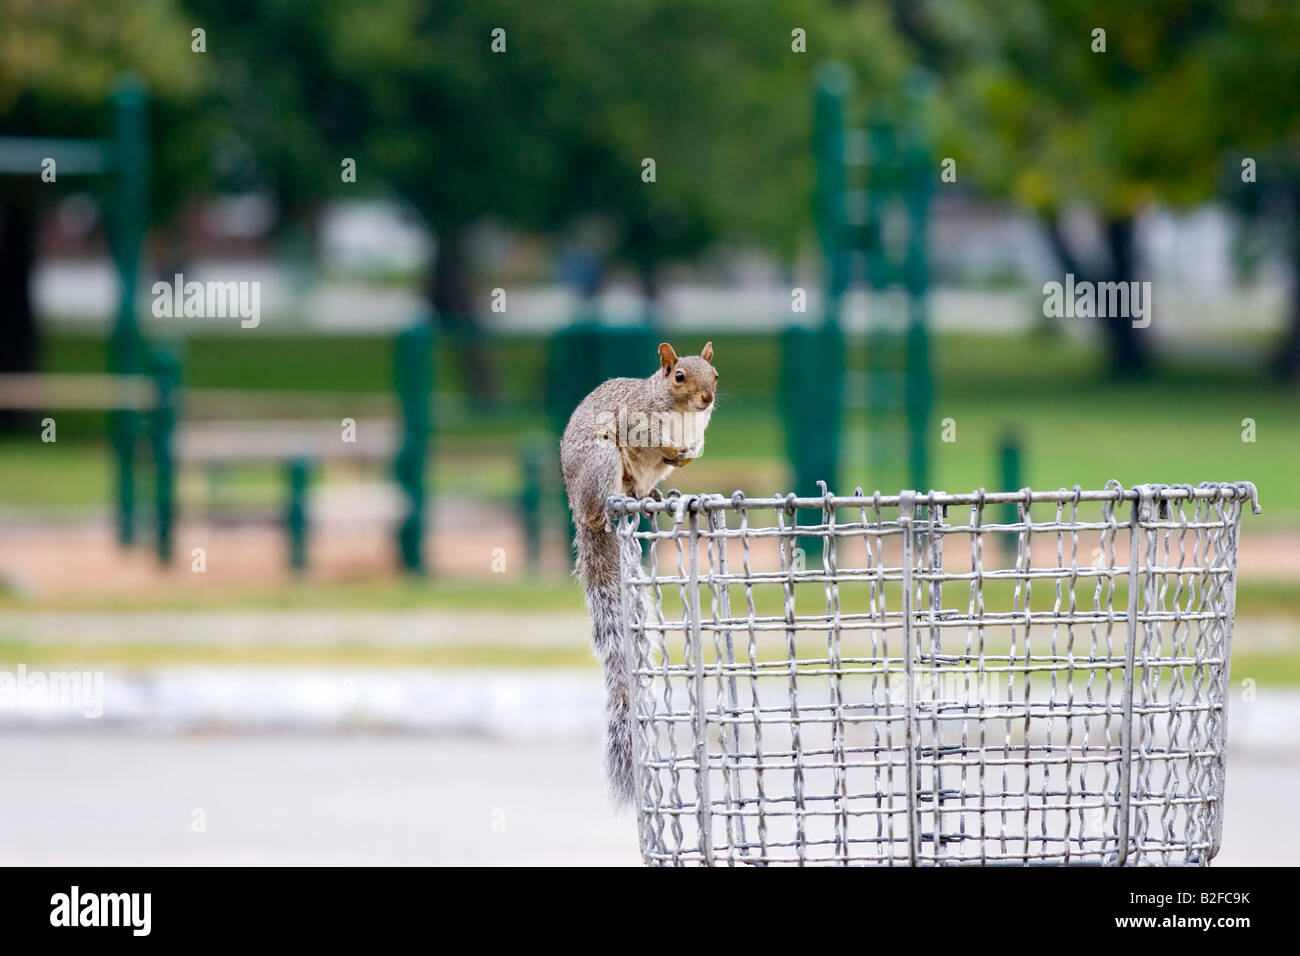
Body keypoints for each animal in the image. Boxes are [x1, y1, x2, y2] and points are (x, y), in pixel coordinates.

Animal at [560, 340, 717, 806]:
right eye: (679, 376)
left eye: (715, 375)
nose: (708, 399)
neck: (681, 415)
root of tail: (579, 507)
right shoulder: (635, 422)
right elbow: (648, 438)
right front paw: (672, 450)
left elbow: (692, 447)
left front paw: (686, 456)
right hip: (601, 463)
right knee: (606, 500)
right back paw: (616, 500)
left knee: (645, 490)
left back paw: (660, 494)